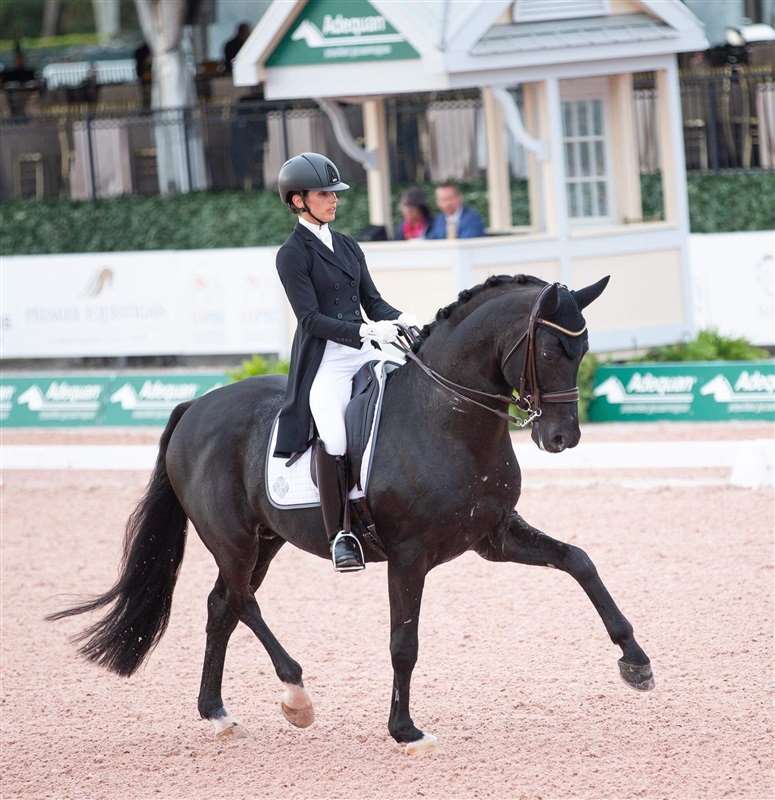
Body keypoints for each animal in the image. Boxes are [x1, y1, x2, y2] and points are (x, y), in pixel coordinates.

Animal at [49, 274, 654, 755]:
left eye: (583, 349)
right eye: (550, 351)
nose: (562, 438)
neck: (448, 417)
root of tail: (195, 405)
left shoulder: (495, 535)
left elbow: (579, 562)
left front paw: (636, 662)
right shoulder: (408, 556)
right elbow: (404, 643)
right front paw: (405, 731)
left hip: (266, 540)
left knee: (222, 605)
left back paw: (218, 713)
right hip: (234, 539)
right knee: (241, 601)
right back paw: (296, 696)